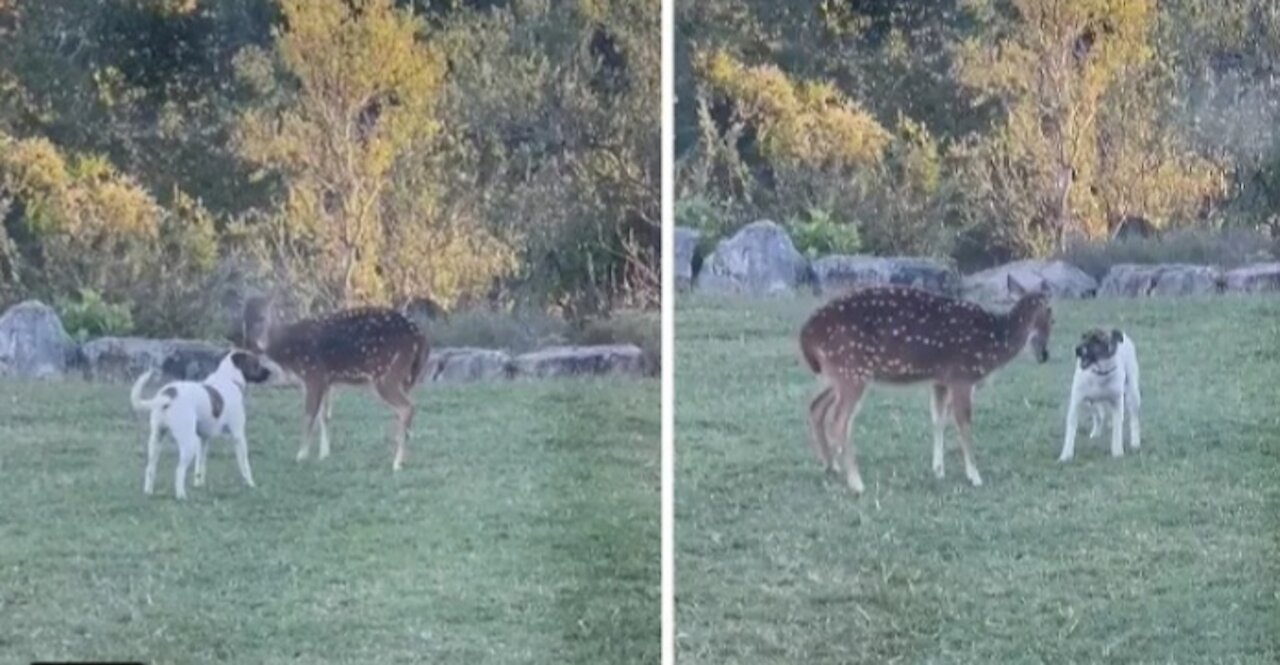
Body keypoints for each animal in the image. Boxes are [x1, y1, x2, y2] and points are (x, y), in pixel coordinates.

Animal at [128, 352, 271, 498]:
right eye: (256, 363)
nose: (269, 372)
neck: (229, 379)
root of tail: (168, 395)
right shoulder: (238, 435)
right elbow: (245, 464)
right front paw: (251, 484)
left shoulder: (203, 439)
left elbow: (200, 464)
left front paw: (199, 484)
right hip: (188, 443)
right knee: (179, 471)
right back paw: (181, 495)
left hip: (156, 440)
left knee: (150, 468)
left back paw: (148, 492)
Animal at [241, 296, 432, 473]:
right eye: (245, 319)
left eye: (262, 317)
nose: (252, 343)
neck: (289, 351)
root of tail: (421, 337)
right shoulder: (327, 381)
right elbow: (325, 416)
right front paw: (324, 454)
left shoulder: (313, 374)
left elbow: (309, 415)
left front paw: (301, 455)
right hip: (407, 378)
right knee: (406, 408)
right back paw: (404, 454)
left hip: (386, 374)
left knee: (406, 408)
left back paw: (397, 463)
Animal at [793, 276, 1054, 493]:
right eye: (1052, 314)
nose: (1044, 355)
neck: (993, 342)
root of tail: (806, 335)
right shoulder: (962, 376)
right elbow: (964, 424)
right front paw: (975, 476)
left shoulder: (940, 380)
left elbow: (938, 421)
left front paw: (938, 470)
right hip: (852, 370)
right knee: (839, 421)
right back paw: (857, 483)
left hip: (835, 373)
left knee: (815, 406)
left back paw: (831, 466)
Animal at [1059, 327, 1141, 462]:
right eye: (1083, 336)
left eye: (1097, 340)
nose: (1077, 349)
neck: (1100, 373)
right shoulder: (1077, 401)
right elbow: (1071, 429)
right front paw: (1066, 455)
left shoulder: (1117, 403)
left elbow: (1117, 430)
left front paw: (1117, 452)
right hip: (1089, 401)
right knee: (1098, 414)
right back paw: (1096, 433)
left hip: (1133, 393)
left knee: (1134, 419)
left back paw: (1135, 443)